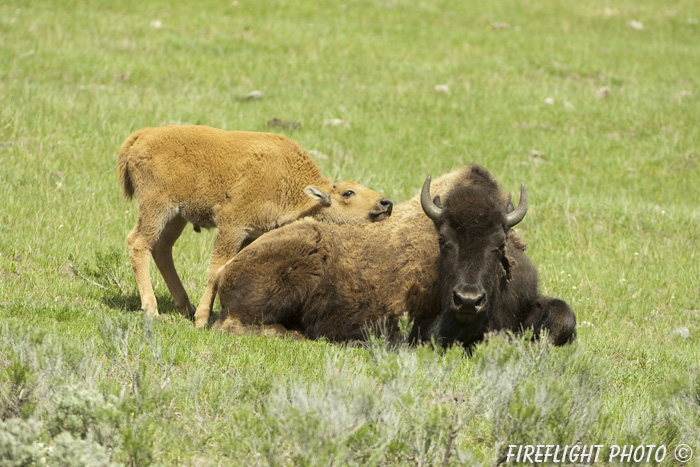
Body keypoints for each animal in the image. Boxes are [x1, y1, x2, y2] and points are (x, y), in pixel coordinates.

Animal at [119, 126, 394, 328]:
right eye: (348, 193)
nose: (386, 203)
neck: (290, 182)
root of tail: (141, 136)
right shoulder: (232, 226)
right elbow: (216, 269)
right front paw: (202, 321)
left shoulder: (252, 234)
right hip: (158, 208)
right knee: (138, 243)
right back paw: (153, 310)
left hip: (177, 216)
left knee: (162, 249)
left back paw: (186, 307)